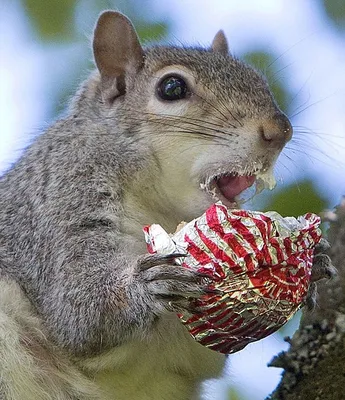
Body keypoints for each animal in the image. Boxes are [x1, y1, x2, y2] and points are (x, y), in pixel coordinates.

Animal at [0, 8, 334, 400]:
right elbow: (77, 312)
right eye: (171, 88)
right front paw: (145, 285)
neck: (159, 208)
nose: (279, 130)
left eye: (258, 79)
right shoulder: (58, 204)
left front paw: (313, 262)